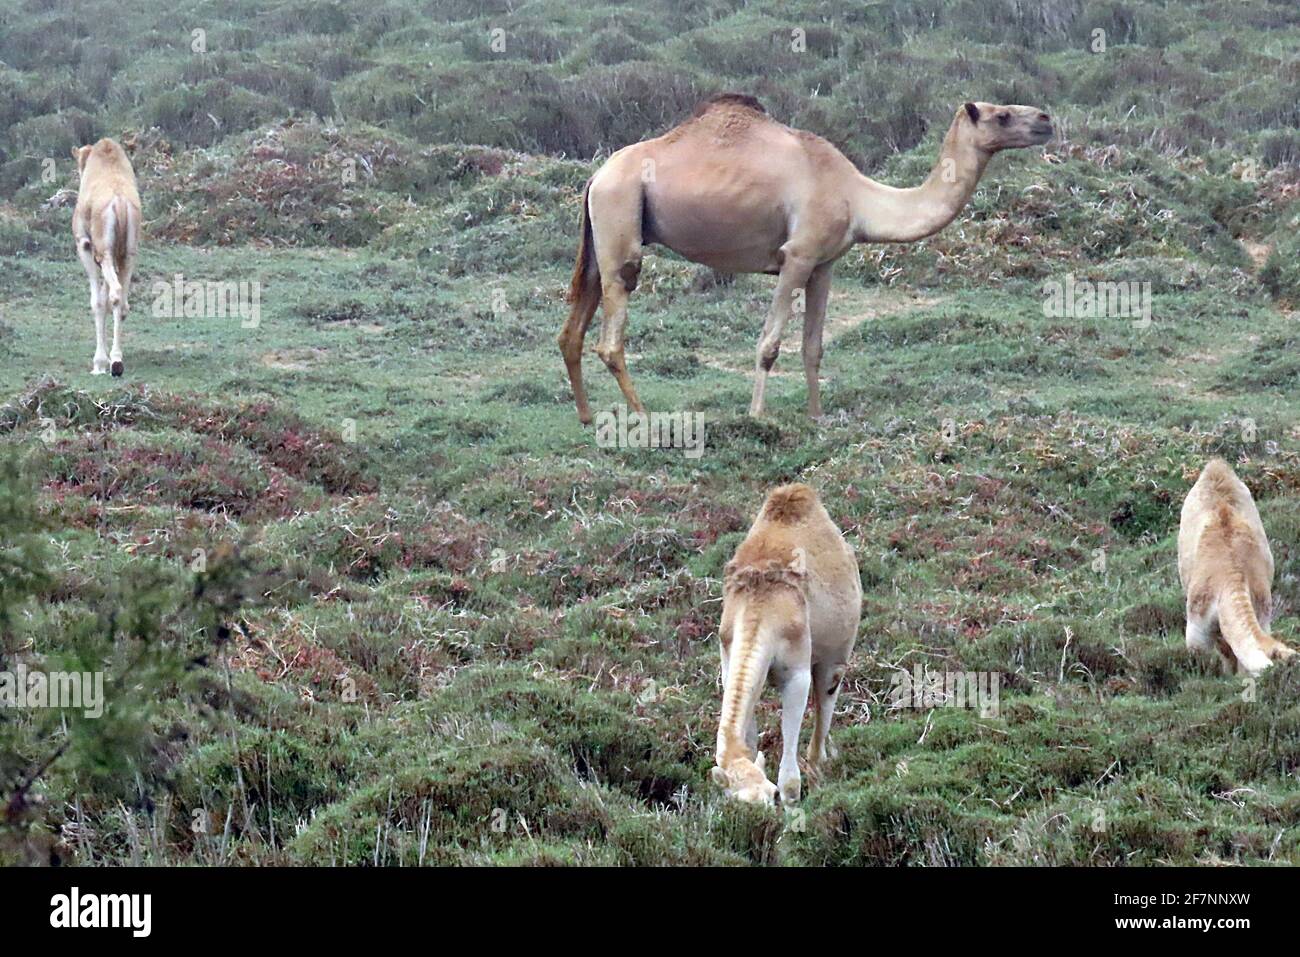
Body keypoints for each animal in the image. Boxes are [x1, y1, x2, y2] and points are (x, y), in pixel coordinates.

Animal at [72, 138, 141, 377]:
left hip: (104, 252)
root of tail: (120, 204)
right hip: (128, 254)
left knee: (115, 294)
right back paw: (117, 358)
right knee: (122, 299)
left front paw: (99, 362)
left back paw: (113, 363)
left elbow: (97, 302)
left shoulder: (85, 245)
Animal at [559, 94, 1053, 423]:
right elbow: (769, 345)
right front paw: (758, 416)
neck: (859, 197)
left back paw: (586, 417)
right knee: (611, 332)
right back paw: (643, 417)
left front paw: (816, 418)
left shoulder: (824, 265)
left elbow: (813, 347)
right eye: (1003, 115)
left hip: (602, 233)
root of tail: (596, 176)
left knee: (573, 330)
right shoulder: (796, 257)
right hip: (621, 217)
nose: (1046, 119)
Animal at [712, 483, 861, 805]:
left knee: (825, 702)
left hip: (836, 655)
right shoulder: (731, 669)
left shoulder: (796, 675)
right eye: (736, 801)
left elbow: (791, 779)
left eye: (773, 794)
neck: (762, 605)